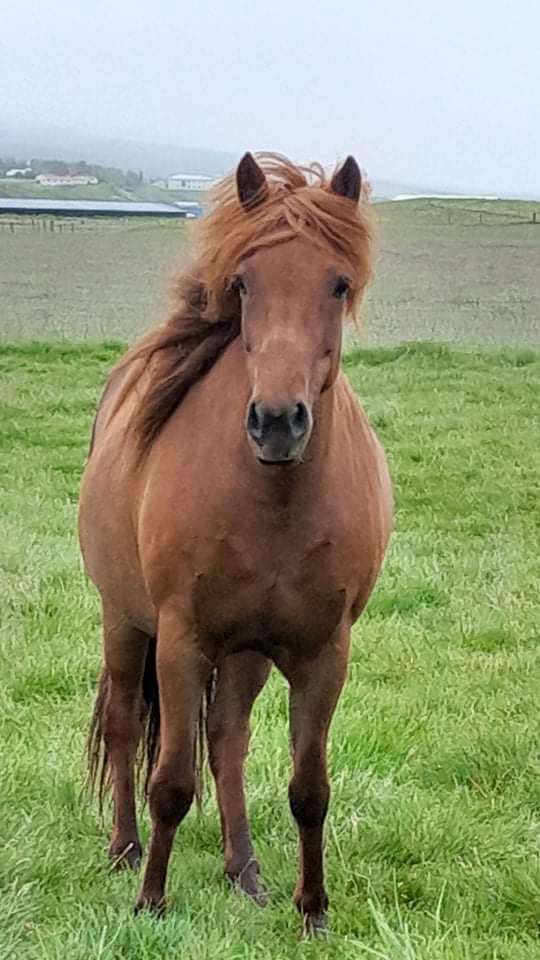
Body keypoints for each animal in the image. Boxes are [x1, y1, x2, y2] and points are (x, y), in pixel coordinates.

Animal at [79, 151, 393, 934]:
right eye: (245, 283)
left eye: (338, 283)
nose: (277, 422)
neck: (273, 500)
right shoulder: (182, 639)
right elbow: (169, 781)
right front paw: (151, 902)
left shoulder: (323, 653)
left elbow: (309, 787)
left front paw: (313, 911)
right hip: (123, 620)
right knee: (127, 726)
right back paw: (125, 850)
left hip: (247, 652)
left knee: (228, 740)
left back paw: (243, 869)